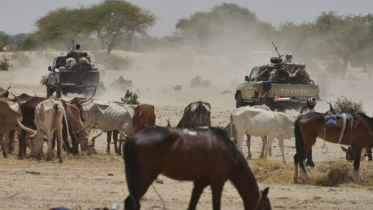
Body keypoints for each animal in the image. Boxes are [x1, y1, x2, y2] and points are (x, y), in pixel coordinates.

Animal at [123, 126, 268, 210]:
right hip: (145, 179)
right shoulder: (217, 183)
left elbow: (192, 205)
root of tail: (133, 139)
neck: (229, 153)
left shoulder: (200, 183)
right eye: (265, 207)